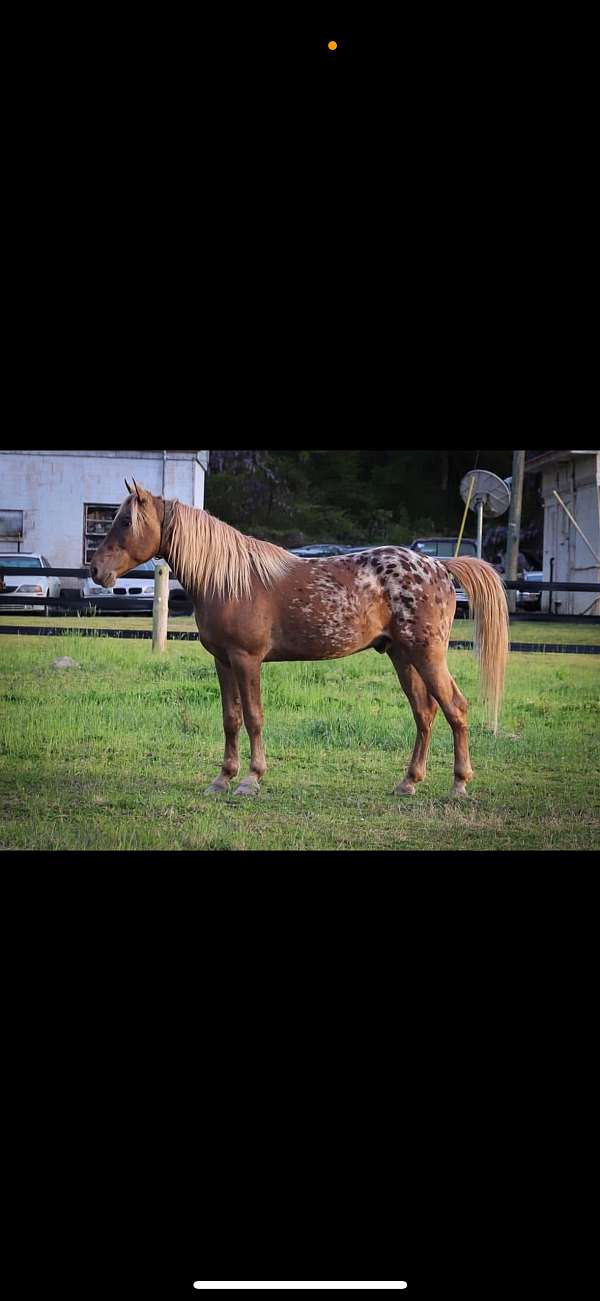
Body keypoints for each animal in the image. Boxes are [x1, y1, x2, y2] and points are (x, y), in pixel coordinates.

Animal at [89, 478, 507, 796]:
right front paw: (222, 779)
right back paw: (408, 783)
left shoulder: (247, 660)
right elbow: (231, 719)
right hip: (402, 656)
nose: (96, 570)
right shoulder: (223, 661)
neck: (229, 580)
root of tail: (438, 564)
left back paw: (459, 785)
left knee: (456, 708)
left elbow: (254, 717)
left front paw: (251, 780)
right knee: (425, 713)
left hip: (427, 655)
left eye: (125, 521)